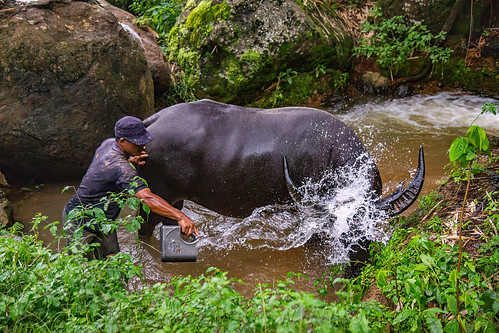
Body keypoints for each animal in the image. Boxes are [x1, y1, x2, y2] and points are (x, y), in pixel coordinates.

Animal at [138, 98, 426, 236]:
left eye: (368, 226)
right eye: (341, 229)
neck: (332, 155)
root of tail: (150, 122)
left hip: (175, 202)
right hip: (155, 199)